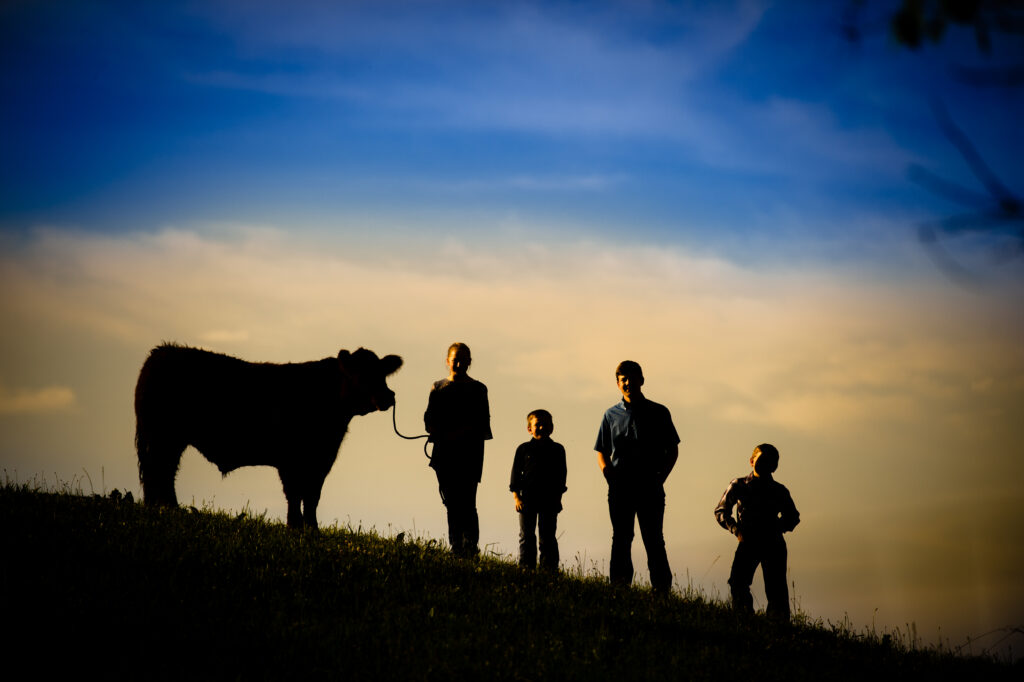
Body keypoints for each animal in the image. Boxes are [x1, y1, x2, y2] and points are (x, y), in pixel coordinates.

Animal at [135, 342, 403, 528]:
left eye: (382, 373)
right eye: (361, 374)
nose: (388, 396)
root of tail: (161, 351)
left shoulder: (322, 459)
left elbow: (313, 495)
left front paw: (312, 529)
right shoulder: (290, 460)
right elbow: (295, 493)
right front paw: (295, 526)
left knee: (160, 471)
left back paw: (158, 507)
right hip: (164, 436)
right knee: (160, 470)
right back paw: (168, 508)